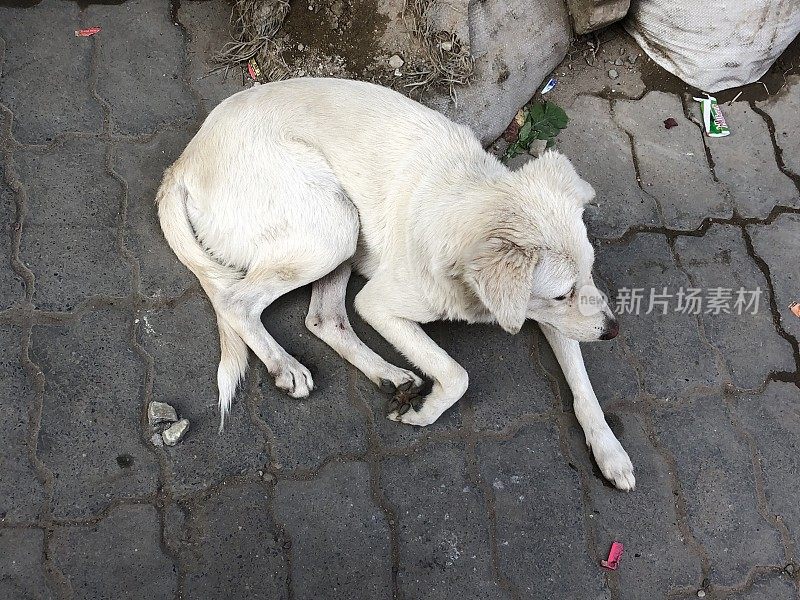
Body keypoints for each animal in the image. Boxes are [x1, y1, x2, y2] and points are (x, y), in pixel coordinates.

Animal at [155, 77, 632, 490]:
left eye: (589, 274)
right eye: (561, 293)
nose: (613, 331)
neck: (468, 202)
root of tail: (182, 161)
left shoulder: (551, 315)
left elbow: (584, 388)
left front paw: (610, 452)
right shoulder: (379, 304)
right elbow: (457, 374)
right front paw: (425, 413)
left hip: (342, 237)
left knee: (322, 320)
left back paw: (388, 376)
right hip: (334, 225)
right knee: (236, 302)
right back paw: (285, 366)